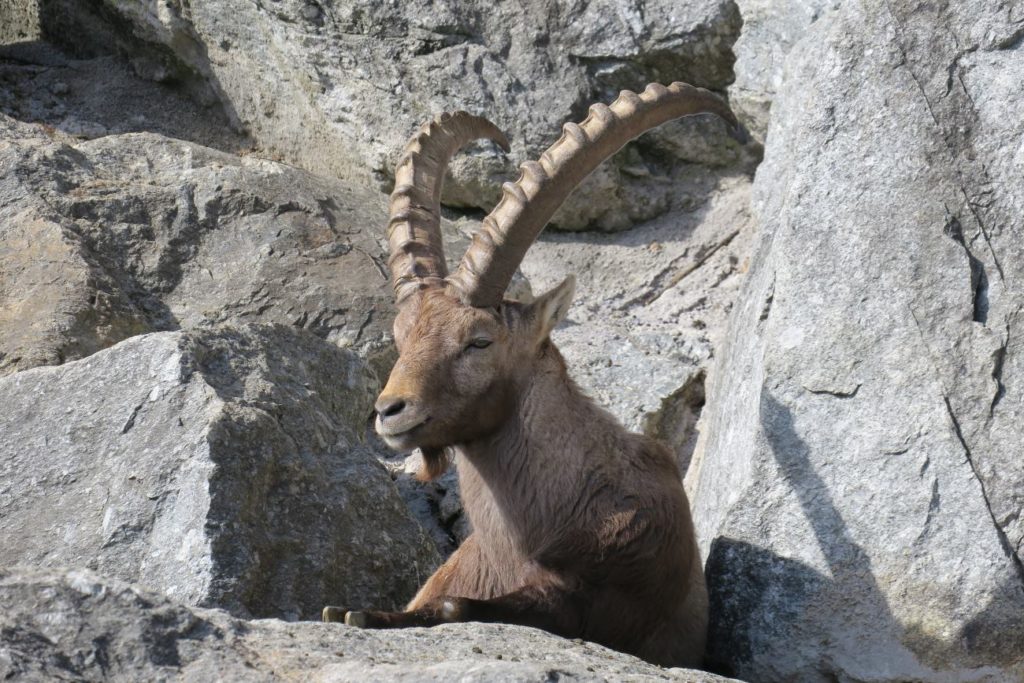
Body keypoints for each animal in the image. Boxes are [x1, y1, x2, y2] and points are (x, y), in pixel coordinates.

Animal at [322, 82, 741, 668]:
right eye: (401, 336)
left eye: (479, 340)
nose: (389, 411)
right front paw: (350, 611)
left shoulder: (612, 592)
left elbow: (460, 607)